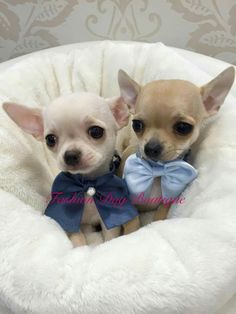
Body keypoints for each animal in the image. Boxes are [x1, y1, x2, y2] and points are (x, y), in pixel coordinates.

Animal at [2, 92, 131, 247]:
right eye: (50, 140)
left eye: (96, 131)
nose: (70, 155)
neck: (87, 185)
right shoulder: (70, 219)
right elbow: (77, 236)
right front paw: (81, 248)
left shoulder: (108, 215)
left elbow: (111, 236)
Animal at [117, 67, 235, 228]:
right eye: (137, 125)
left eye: (183, 127)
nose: (151, 147)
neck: (157, 169)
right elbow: (131, 221)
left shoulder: (170, 196)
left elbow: (161, 214)